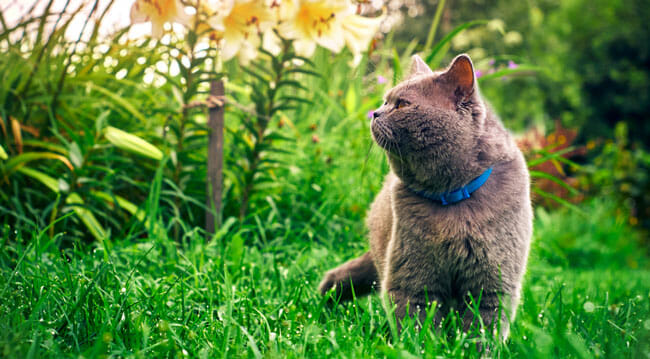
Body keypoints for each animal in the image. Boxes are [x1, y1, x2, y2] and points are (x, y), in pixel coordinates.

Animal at [316, 53, 528, 338]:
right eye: (385, 101)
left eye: (402, 104)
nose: (375, 112)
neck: (452, 198)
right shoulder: (412, 277)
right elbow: (416, 324)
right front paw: (423, 344)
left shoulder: (492, 281)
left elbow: (482, 328)